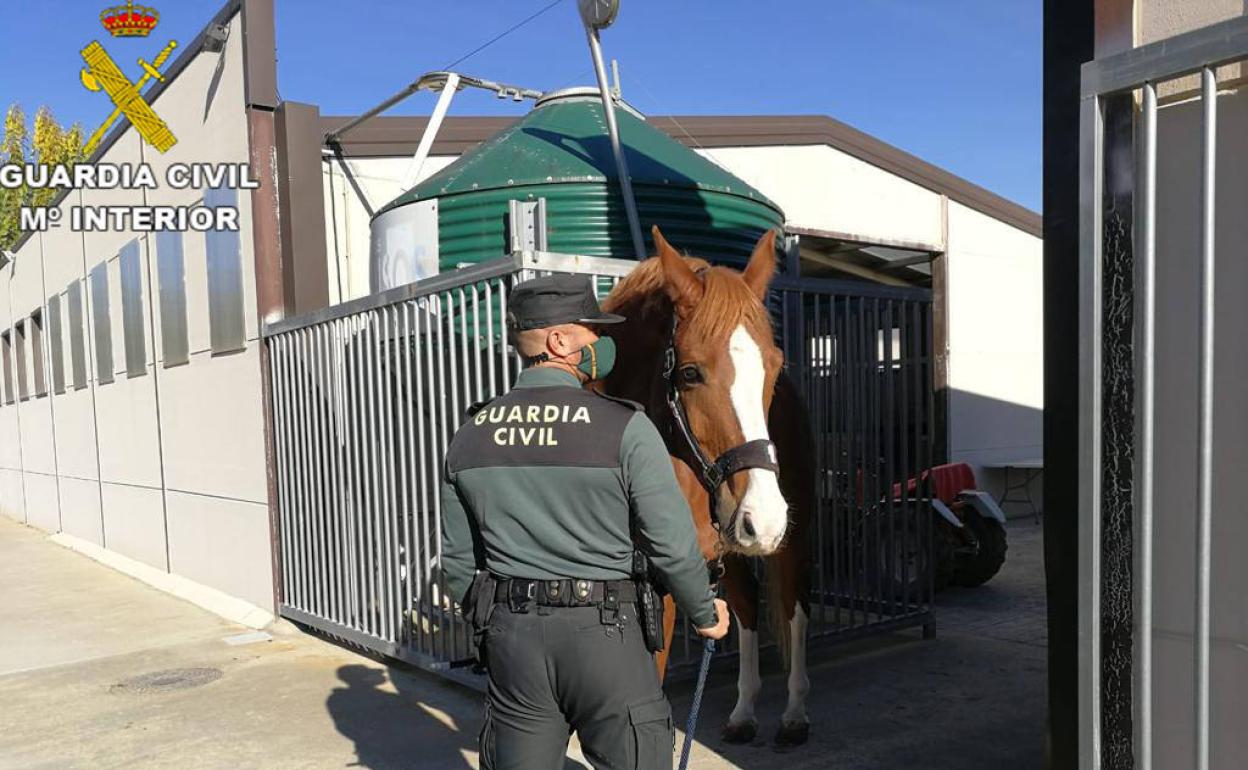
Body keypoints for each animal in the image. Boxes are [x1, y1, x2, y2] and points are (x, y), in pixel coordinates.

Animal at [596, 224, 818, 743]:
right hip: (731, 546)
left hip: (792, 538)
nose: (765, 517)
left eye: (773, 366)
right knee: (747, 609)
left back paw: (794, 712)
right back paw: (743, 712)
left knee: (794, 608)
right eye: (690, 372)